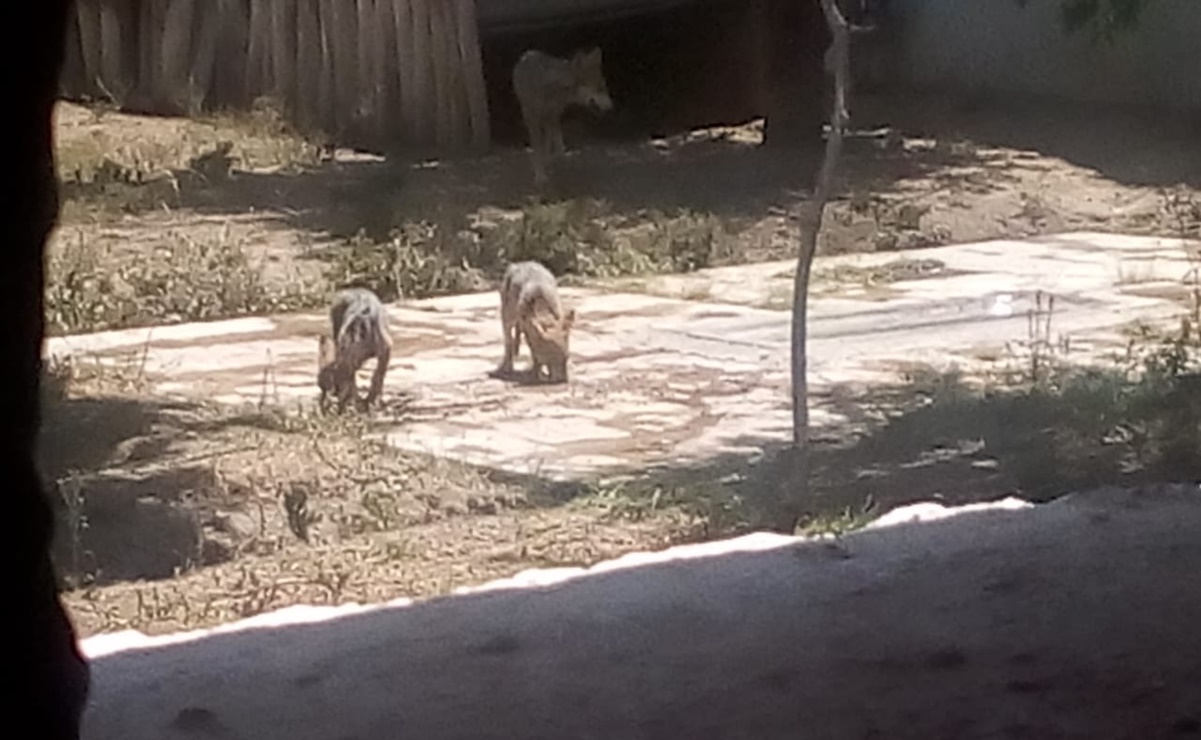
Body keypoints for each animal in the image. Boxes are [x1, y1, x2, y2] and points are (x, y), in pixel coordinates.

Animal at [511, 46, 614, 187]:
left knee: (550, 138)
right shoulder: (533, 118)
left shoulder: (553, 115)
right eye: (599, 89)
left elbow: (554, 144)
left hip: (550, 118)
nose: (611, 107)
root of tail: (529, 53)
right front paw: (540, 176)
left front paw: (554, 162)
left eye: (604, 87)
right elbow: (538, 149)